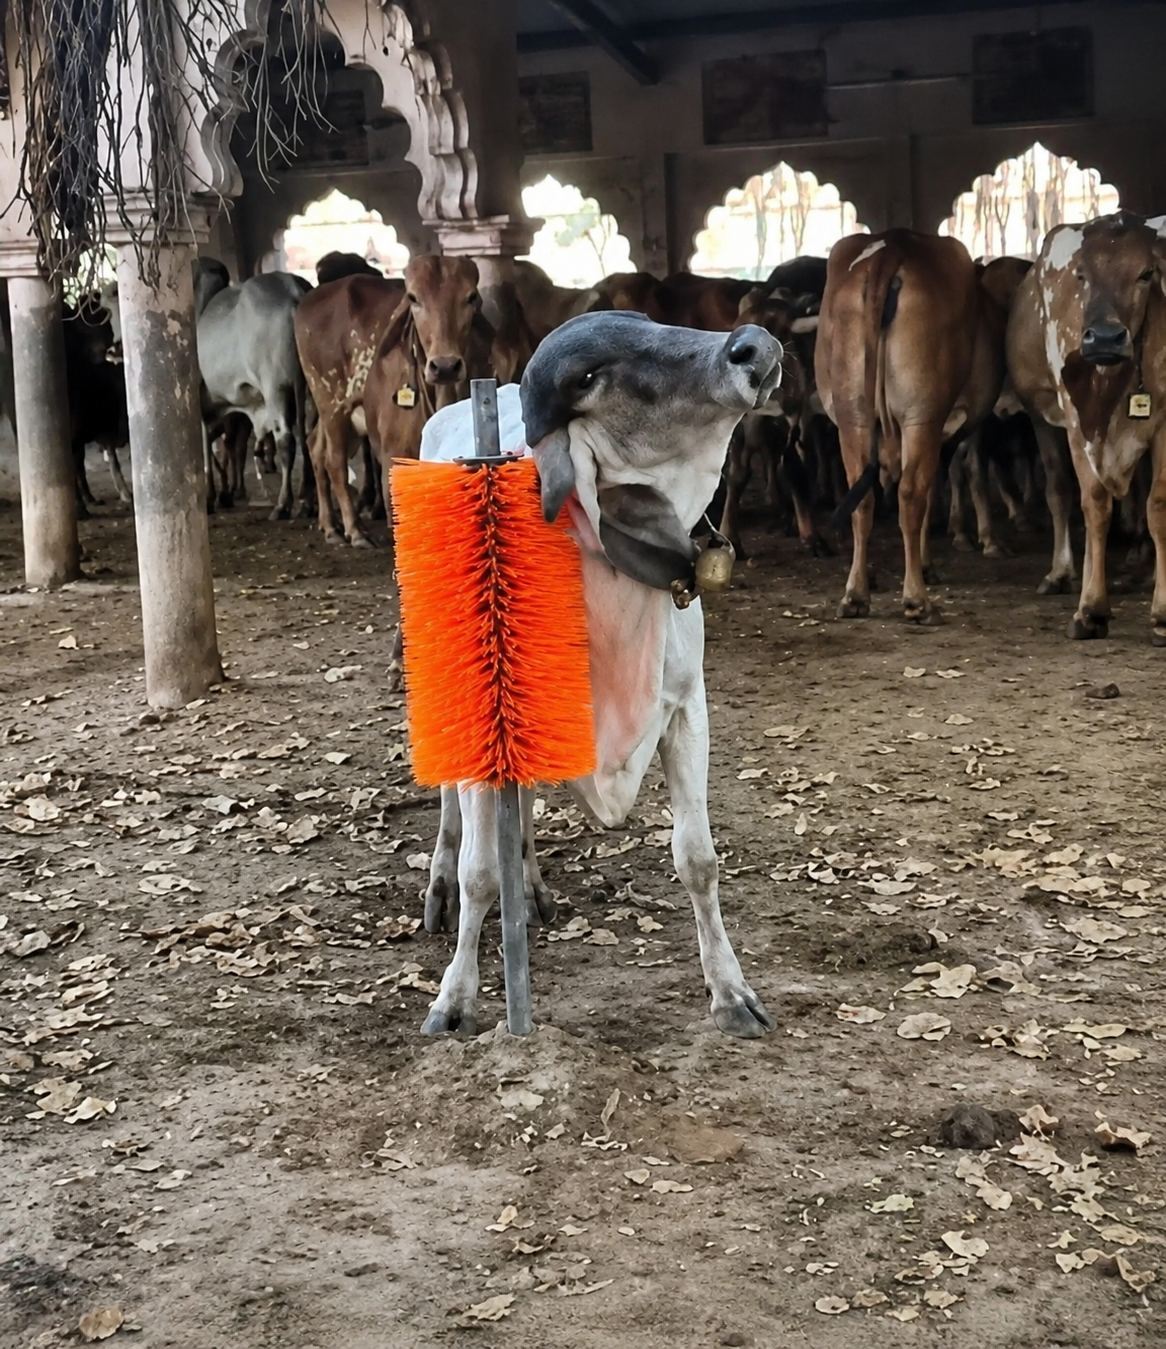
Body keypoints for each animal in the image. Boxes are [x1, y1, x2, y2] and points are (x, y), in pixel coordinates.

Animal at [193, 260, 310, 519]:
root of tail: (294, 292)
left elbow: (207, 448)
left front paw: (211, 497)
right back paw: (309, 500)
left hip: (276, 387)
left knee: (286, 441)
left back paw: (283, 504)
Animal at [416, 311, 782, 1040]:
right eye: (589, 376)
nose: (753, 345)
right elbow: (478, 873)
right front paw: (455, 998)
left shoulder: (687, 710)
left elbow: (698, 860)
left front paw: (731, 993)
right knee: (453, 814)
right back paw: (443, 886)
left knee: (522, 809)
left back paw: (531, 887)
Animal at [816, 229, 985, 622]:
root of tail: (891, 246)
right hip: (921, 414)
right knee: (911, 495)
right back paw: (917, 600)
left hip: (853, 414)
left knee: (862, 497)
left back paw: (855, 595)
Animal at [1007, 211, 1166, 641]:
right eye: (1081, 275)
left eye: (1146, 273)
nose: (1106, 338)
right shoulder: (1076, 419)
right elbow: (1093, 503)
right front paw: (1092, 609)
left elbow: (1157, 505)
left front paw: (1162, 610)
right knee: (1061, 490)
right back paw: (1063, 573)